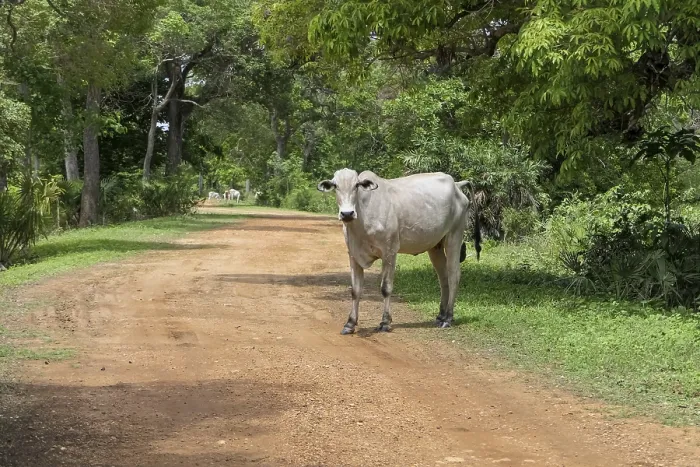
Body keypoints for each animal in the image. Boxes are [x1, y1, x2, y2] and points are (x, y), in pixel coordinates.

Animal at [318, 168, 481, 335]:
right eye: (335, 186)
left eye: (356, 185)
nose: (347, 214)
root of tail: (457, 185)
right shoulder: (353, 255)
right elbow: (355, 290)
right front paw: (350, 323)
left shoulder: (389, 252)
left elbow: (386, 288)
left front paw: (385, 322)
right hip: (436, 246)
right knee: (443, 278)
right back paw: (441, 315)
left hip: (454, 236)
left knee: (454, 276)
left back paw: (448, 317)